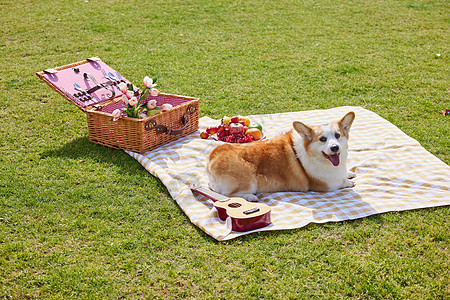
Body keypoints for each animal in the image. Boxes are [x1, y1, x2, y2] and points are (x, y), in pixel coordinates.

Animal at [206, 112, 356, 202]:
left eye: (337, 135)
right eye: (322, 139)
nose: (335, 148)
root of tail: (211, 159)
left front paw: (348, 173)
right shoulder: (325, 184)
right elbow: (340, 182)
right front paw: (348, 182)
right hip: (248, 181)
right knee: (228, 195)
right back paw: (250, 197)